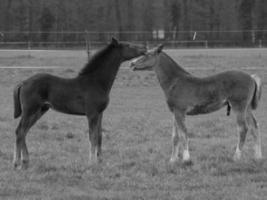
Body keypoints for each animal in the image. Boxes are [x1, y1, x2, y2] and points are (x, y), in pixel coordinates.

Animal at [12, 38, 147, 169]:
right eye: (128, 45)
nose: (144, 48)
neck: (96, 82)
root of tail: (23, 82)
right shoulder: (92, 114)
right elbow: (92, 136)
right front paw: (92, 162)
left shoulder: (100, 113)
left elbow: (99, 135)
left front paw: (100, 160)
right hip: (30, 110)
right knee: (20, 131)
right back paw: (17, 162)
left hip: (40, 110)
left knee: (24, 131)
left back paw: (25, 161)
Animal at [132, 45, 264, 164]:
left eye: (147, 55)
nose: (132, 64)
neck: (175, 81)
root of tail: (251, 77)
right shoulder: (174, 112)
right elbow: (175, 136)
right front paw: (172, 160)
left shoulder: (180, 111)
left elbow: (183, 134)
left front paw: (186, 159)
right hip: (247, 108)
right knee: (254, 126)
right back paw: (258, 157)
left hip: (238, 106)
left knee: (243, 129)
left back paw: (236, 157)